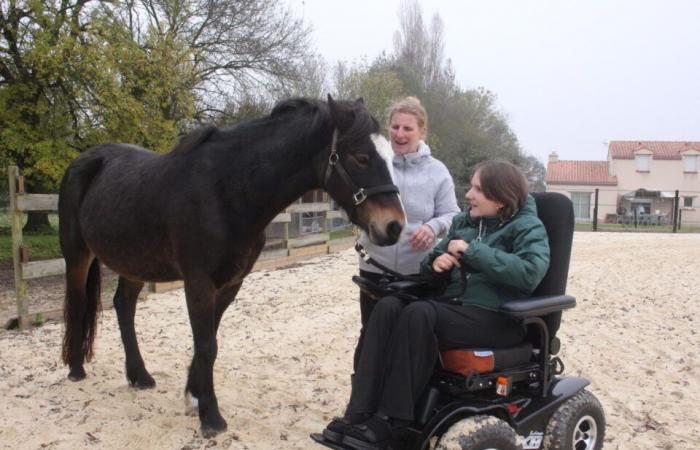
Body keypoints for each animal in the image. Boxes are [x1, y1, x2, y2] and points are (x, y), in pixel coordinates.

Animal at [59, 96, 404, 436]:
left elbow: (208, 339)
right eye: (361, 157)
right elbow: (206, 344)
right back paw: (76, 369)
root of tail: (84, 161)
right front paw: (211, 417)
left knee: (124, 306)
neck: (226, 191)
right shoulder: (198, 281)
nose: (394, 226)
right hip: (77, 254)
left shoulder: (231, 282)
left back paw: (139, 375)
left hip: (135, 261)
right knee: (77, 303)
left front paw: (194, 396)